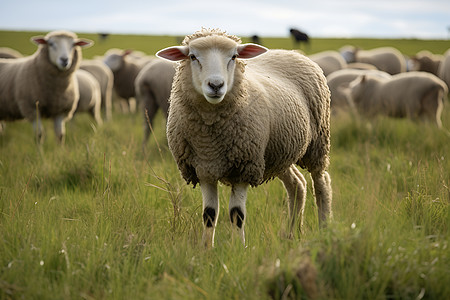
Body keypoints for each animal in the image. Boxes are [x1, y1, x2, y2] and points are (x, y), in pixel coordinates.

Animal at [156, 28, 332, 248]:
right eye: (192, 56)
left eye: (233, 56)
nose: (216, 85)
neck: (210, 142)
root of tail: (293, 52)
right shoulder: (203, 169)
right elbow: (209, 214)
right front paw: (206, 249)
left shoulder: (244, 168)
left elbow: (236, 214)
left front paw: (238, 248)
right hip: (278, 152)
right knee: (297, 185)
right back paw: (290, 234)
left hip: (318, 143)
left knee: (321, 184)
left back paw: (324, 228)